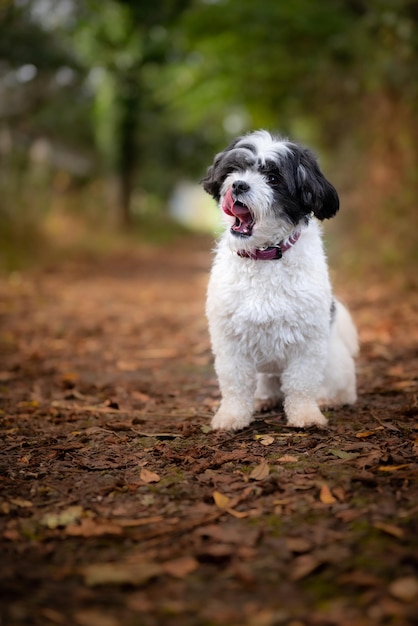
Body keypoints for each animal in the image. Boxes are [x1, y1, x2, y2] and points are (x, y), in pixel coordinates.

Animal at [201, 129, 358, 426]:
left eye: (273, 178)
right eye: (234, 170)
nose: (238, 185)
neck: (265, 255)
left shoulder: (307, 342)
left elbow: (301, 383)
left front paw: (306, 414)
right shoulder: (230, 341)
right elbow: (235, 383)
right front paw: (231, 416)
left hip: (333, 363)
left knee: (343, 389)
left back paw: (329, 399)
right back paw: (264, 400)